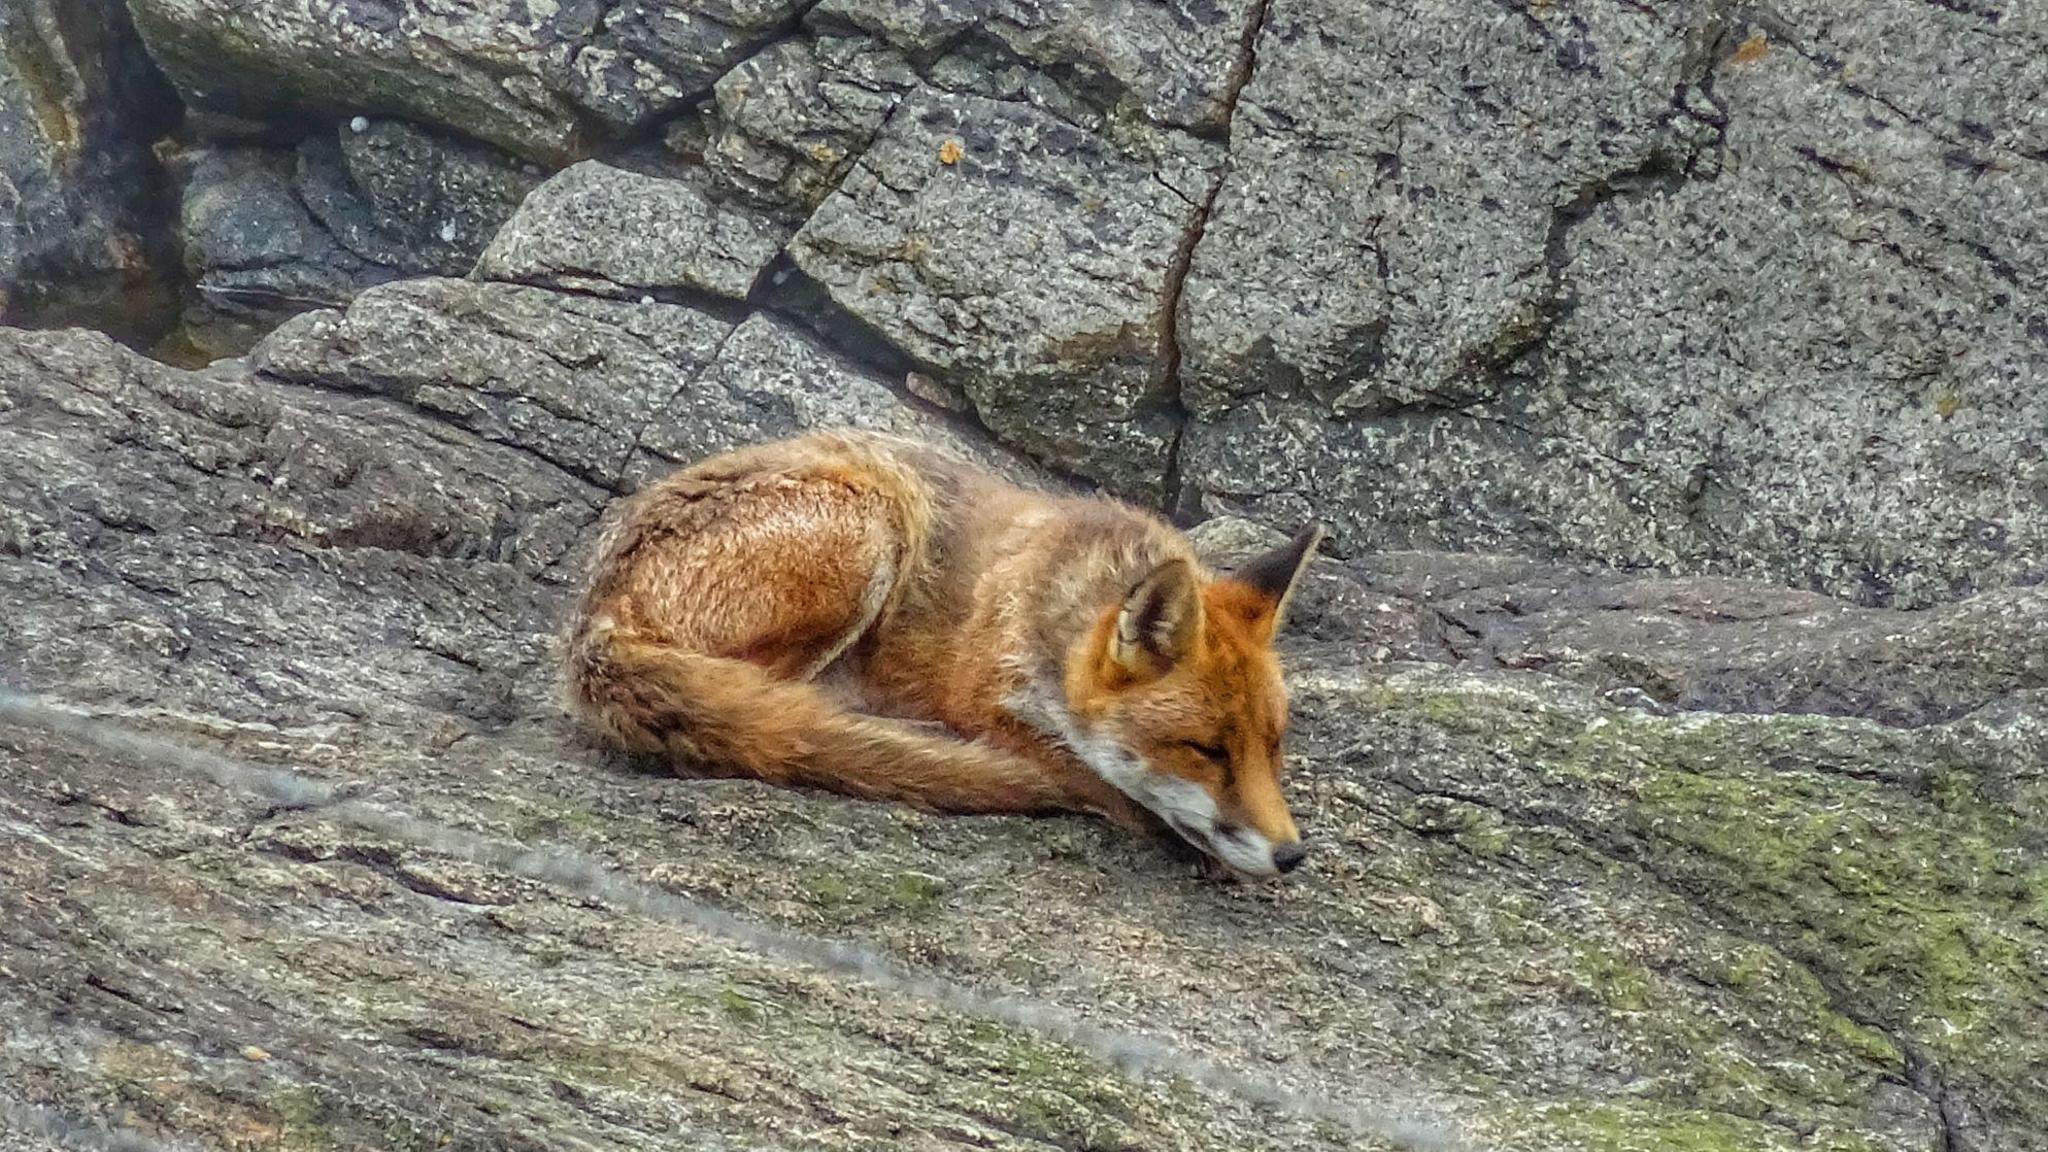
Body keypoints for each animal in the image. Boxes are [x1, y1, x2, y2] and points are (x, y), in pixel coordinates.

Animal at [561, 430, 1327, 877]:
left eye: (1273, 745)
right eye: (1204, 750)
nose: (1291, 855)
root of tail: (594, 622)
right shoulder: (983, 698)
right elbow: (1093, 778)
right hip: (871, 528)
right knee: (772, 707)